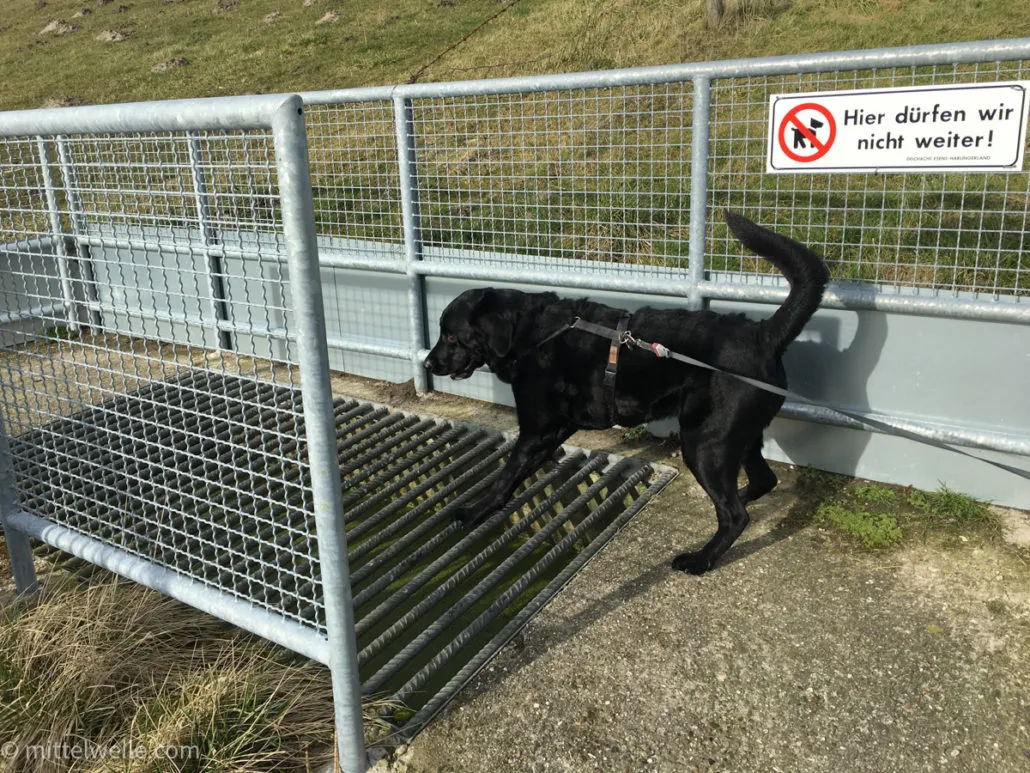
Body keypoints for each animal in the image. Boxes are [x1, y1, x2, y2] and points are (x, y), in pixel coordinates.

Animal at [424, 210, 829, 574]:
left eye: (450, 335)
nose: (428, 364)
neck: (531, 334)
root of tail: (765, 334)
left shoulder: (536, 429)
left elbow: (506, 473)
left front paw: (476, 511)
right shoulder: (551, 430)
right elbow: (519, 471)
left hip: (705, 443)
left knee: (735, 515)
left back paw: (701, 560)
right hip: (736, 438)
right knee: (762, 482)